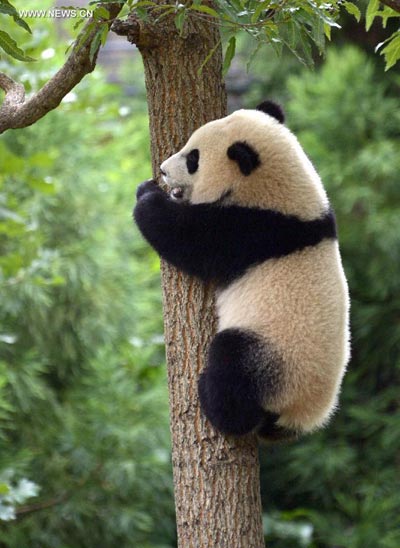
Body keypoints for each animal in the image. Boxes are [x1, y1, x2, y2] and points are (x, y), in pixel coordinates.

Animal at [134, 100, 350, 438]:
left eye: (193, 159)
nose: (164, 170)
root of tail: (300, 412)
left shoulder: (252, 230)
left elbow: (187, 239)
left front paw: (146, 197)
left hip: (272, 355)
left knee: (232, 366)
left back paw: (214, 402)